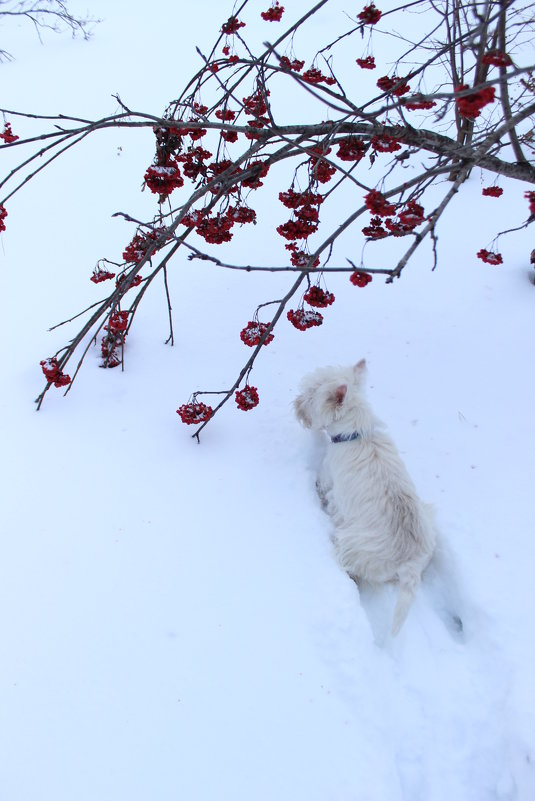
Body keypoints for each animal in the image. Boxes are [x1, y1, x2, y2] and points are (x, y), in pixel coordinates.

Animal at [296, 360, 438, 636]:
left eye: (310, 394)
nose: (297, 403)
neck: (356, 433)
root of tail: (411, 562)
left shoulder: (329, 479)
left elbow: (322, 489)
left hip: (353, 544)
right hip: (428, 516)